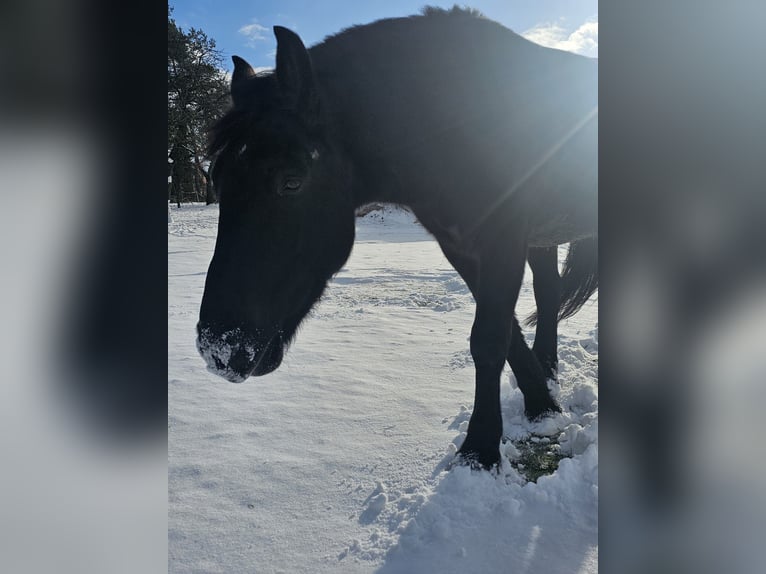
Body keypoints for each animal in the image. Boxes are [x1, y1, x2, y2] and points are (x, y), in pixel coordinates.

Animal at [197, 7, 597, 469]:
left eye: (291, 182)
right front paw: (542, 407)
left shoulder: (504, 238)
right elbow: (506, 332)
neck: (460, 122)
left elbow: (489, 338)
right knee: (548, 292)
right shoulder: (462, 246)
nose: (219, 349)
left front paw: (478, 451)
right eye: (216, 179)